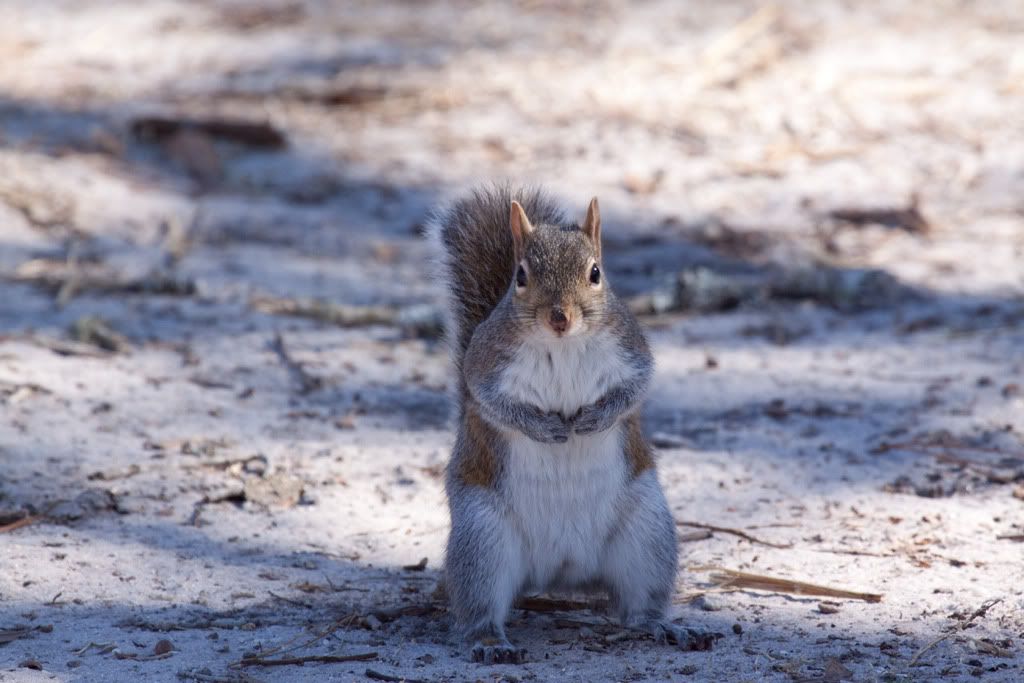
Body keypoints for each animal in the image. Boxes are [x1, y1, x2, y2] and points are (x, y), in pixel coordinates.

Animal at [428, 185, 715, 663]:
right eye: (520, 275)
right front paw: (548, 429)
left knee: (639, 605)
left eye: (595, 272)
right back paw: (489, 641)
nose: (560, 317)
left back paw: (664, 626)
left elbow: (634, 390)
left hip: (647, 534)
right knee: (480, 604)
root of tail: (559, 572)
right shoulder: (485, 366)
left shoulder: (632, 350)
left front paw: (593, 420)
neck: (561, 346)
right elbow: (492, 402)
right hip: (482, 539)